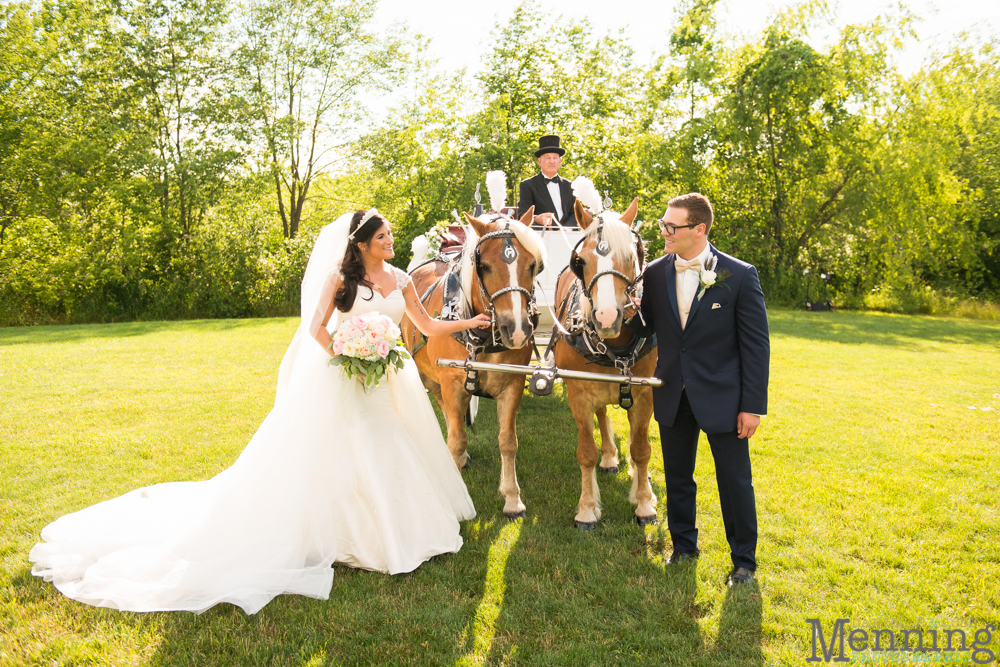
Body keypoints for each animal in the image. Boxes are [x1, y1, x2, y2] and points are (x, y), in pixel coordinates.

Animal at [402, 207, 548, 516]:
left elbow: (508, 441)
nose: (517, 330)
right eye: (485, 266)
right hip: (430, 377)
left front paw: (512, 498)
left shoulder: (513, 384)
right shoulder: (451, 381)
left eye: (533, 265)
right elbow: (457, 439)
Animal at [548, 197, 656, 528]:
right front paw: (586, 509)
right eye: (580, 261)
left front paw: (644, 503)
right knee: (602, 414)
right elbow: (586, 451)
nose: (607, 318)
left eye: (632, 256)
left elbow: (641, 449)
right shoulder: (579, 394)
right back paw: (609, 456)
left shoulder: (644, 394)